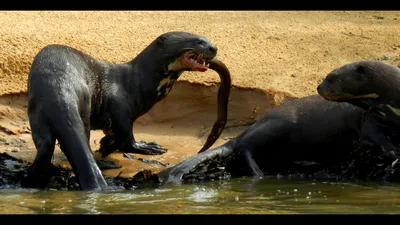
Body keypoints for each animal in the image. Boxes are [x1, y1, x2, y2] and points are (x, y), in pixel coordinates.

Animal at [22, 31, 231, 190]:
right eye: (197, 40)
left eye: (207, 39)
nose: (214, 48)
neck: (137, 82)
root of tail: (60, 88)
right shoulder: (121, 108)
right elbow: (126, 138)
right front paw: (145, 147)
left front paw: (106, 144)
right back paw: (105, 163)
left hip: (37, 115)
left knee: (45, 145)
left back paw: (33, 178)